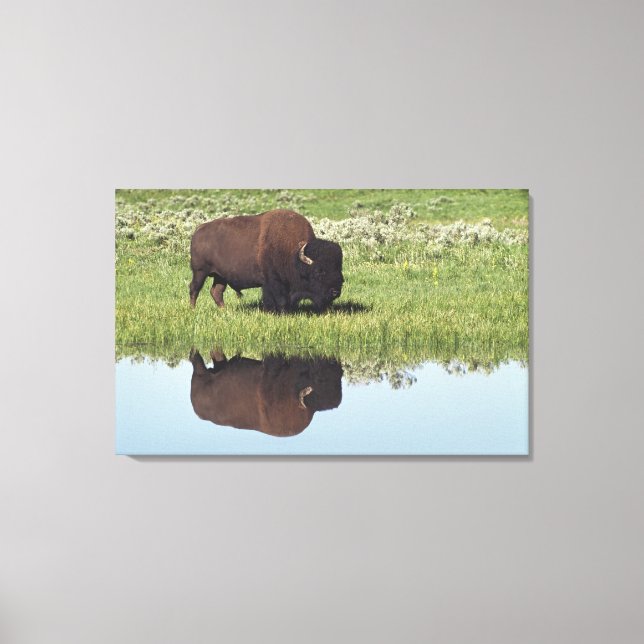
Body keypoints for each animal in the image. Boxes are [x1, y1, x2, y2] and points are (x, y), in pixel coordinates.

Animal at [189, 209, 343, 312]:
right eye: (318, 272)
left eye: (339, 269)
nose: (335, 291)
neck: (293, 253)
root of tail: (199, 229)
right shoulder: (273, 282)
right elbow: (279, 300)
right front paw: (280, 313)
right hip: (200, 272)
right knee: (194, 288)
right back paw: (192, 309)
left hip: (220, 276)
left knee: (216, 292)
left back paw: (225, 310)